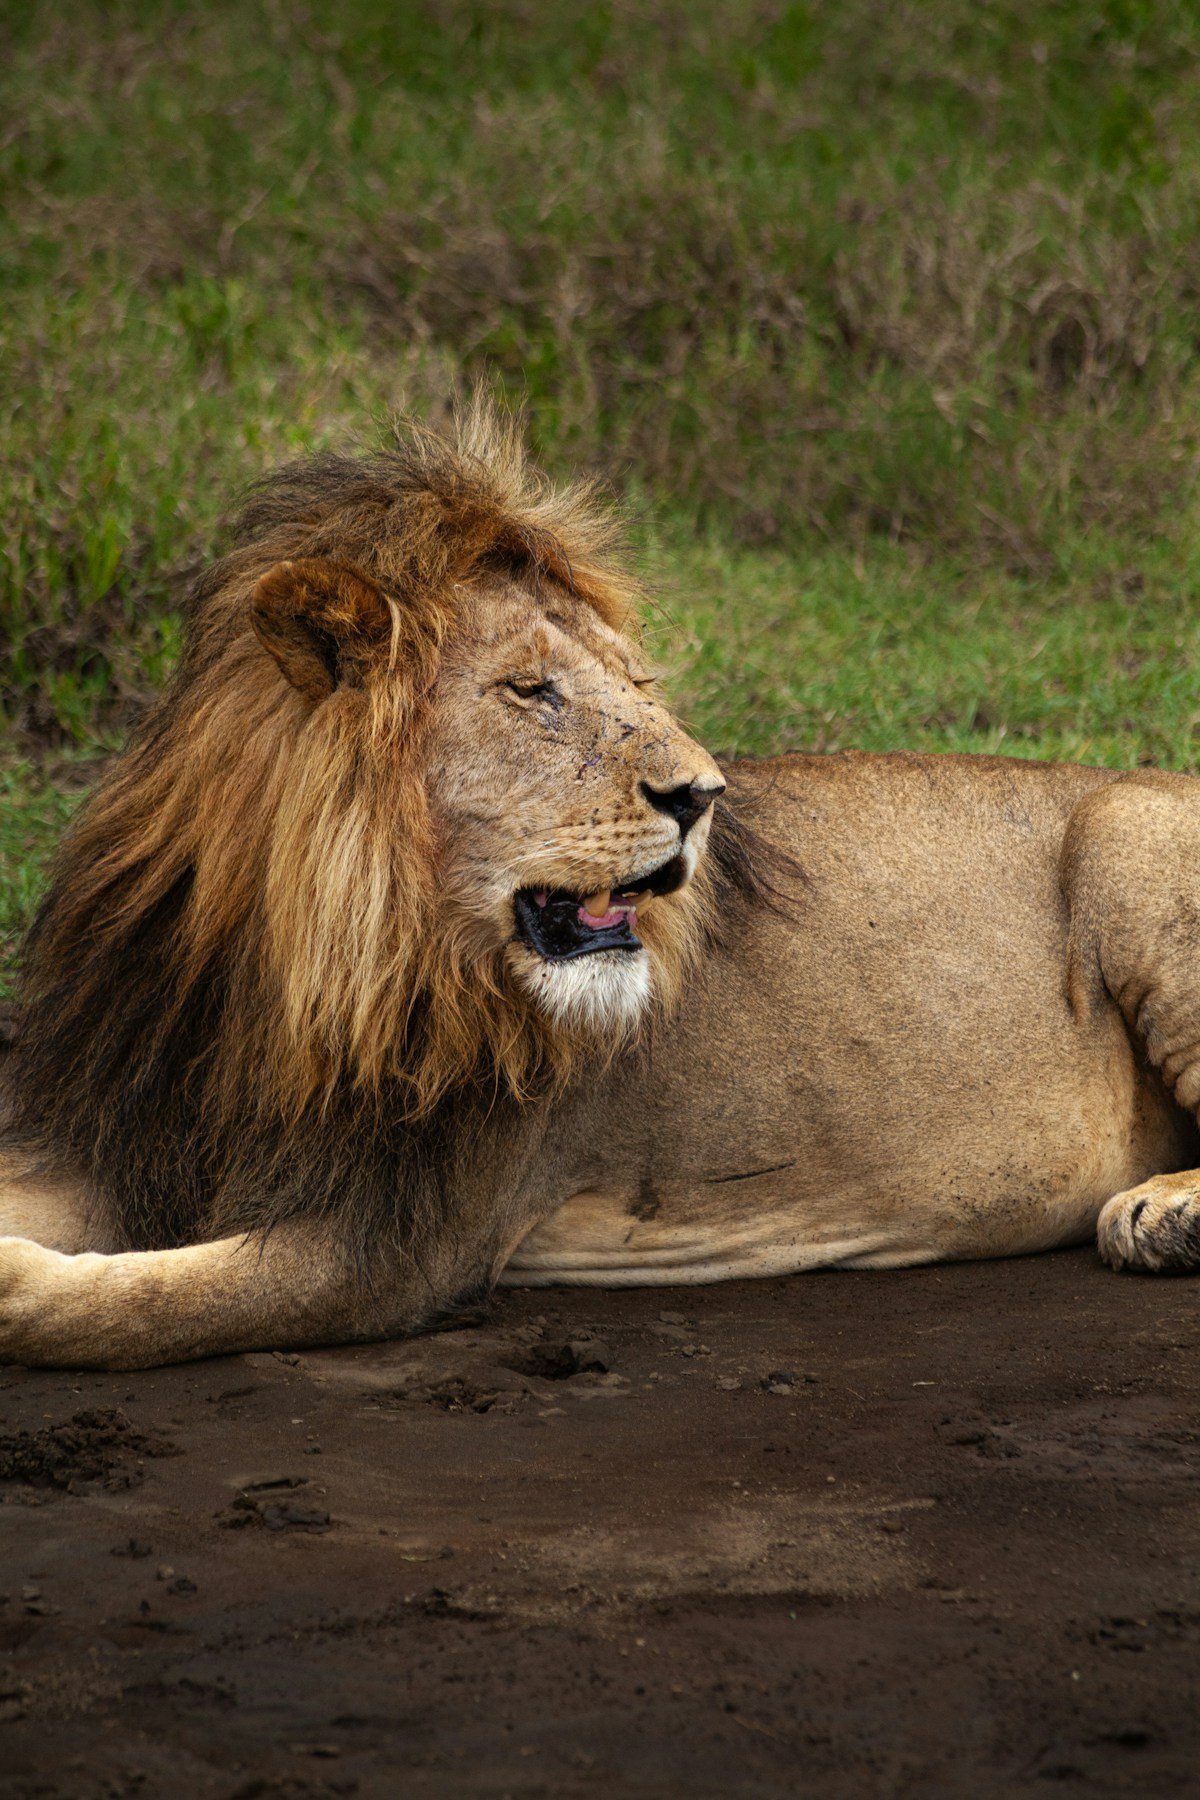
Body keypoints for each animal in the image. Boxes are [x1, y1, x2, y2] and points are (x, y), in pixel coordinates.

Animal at [2, 404, 1199, 1369]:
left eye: (634, 686)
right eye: (531, 691)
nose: (703, 794)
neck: (296, 965)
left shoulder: (393, 1244)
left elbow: (141, 1307)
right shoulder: (133, 1131)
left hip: (1131, 834)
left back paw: (1160, 1215)